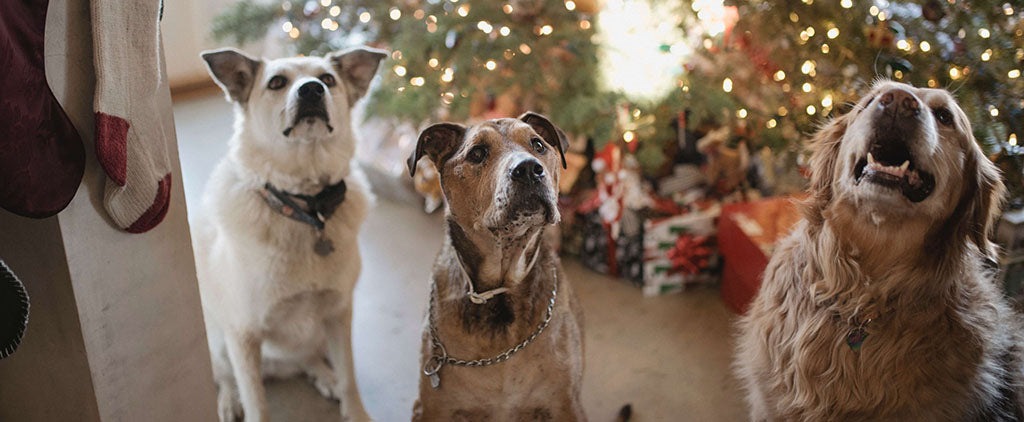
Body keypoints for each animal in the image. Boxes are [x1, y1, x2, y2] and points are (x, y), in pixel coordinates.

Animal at [192, 46, 385, 422]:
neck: (306, 209)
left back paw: (324, 376)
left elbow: (349, 376)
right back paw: (228, 401)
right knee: (225, 378)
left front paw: (354, 410)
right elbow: (256, 402)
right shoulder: (243, 334)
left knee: (308, 358)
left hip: (318, 335)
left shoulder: (338, 313)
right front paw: (244, 403)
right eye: (277, 83)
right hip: (218, 341)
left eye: (328, 79)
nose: (311, 90)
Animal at [405, 113, 585, 419]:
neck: (501, 292)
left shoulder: (567, 406)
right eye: (477, 153)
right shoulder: (432, 409)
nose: (529, 169)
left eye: (538, 144)